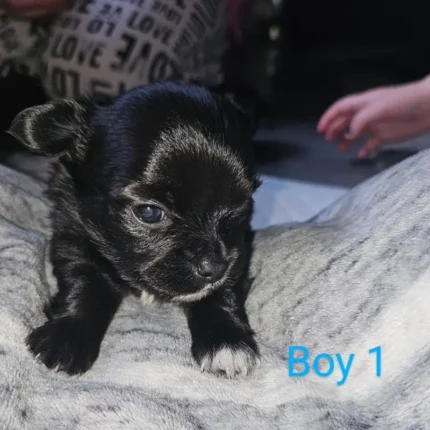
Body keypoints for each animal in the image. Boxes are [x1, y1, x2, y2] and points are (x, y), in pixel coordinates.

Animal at [8, 82, 260, 378]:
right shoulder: (75, 235)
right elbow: (85, 283)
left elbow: (225, 287)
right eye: (149, 212)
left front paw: (227, 342)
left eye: (241, 206)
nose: (215, 268)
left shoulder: (240, 249)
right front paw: (67, 337)